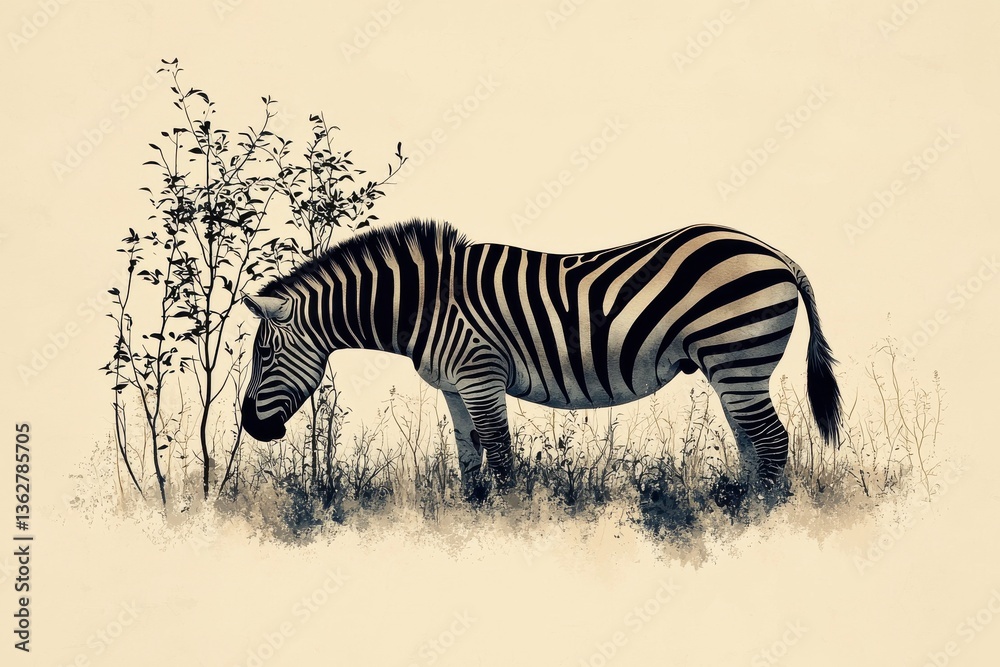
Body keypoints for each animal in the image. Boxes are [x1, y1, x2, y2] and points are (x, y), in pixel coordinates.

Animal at [241, 220, 841, 495]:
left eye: (265, 355)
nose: (250, 426)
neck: (425, 305)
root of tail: (772, 249)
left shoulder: (480, 374)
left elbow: (501, 453)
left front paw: (510, 523)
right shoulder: (454, 386)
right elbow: (469, 455)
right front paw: (472, 515)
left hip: (737, 356)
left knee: (772, 440)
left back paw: (763, 519)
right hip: (730, 367)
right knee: (752, 442)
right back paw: (741, 508)